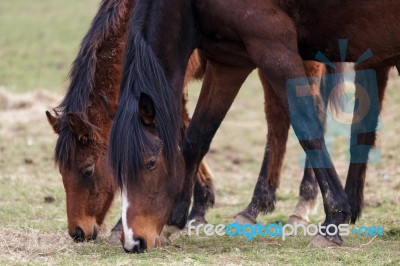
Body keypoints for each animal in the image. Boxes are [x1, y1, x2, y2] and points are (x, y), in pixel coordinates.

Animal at [109, 0, 396, 252]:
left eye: (150, 163)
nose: (134, 242)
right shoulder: (228, 63)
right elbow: (196, 139)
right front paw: (175, 218)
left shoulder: (274, 47)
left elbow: (308, 128)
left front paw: (333, 222)